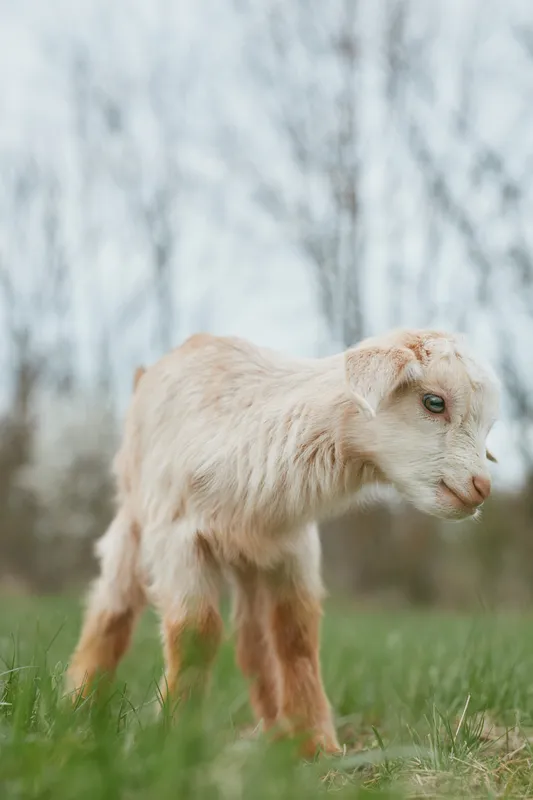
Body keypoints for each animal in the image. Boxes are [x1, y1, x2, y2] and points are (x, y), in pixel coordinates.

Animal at [67, 328, 499, 755]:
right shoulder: (177, 536)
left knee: (253, 640)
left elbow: (296, 636)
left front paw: (318, 744)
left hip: (250, 559)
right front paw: (173, 736)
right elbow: (196, 633)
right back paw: (78, 703)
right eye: (433, 402)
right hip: (134, 517)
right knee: (113, 605)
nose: (481, 488)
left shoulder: (294, 545)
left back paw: (275, 734)